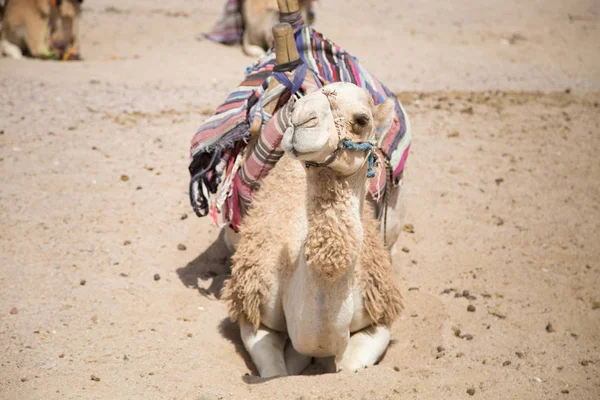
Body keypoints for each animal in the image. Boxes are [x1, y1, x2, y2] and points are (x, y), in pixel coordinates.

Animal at [223, 82, 406, 378]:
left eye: (361, 120)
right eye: (295, 107)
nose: (301, 121)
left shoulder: (380, 315)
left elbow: (349, 366)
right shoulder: (254, 311)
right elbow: (277, 371)